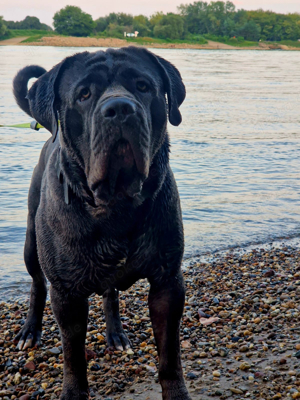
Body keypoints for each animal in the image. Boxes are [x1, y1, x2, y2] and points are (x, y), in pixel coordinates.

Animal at [12, 47, 190, 400]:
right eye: (84, 94)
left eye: (143, 86)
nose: (120, 108)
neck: (116, 204)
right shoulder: (66, 294)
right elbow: (73, 357)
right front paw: (73, 393)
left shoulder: (167, 282)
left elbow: (169, 354)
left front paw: (177, 393)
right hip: (30, 243)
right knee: (37, 284)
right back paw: (30, 330)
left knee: (110, 293)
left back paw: (116, 333)